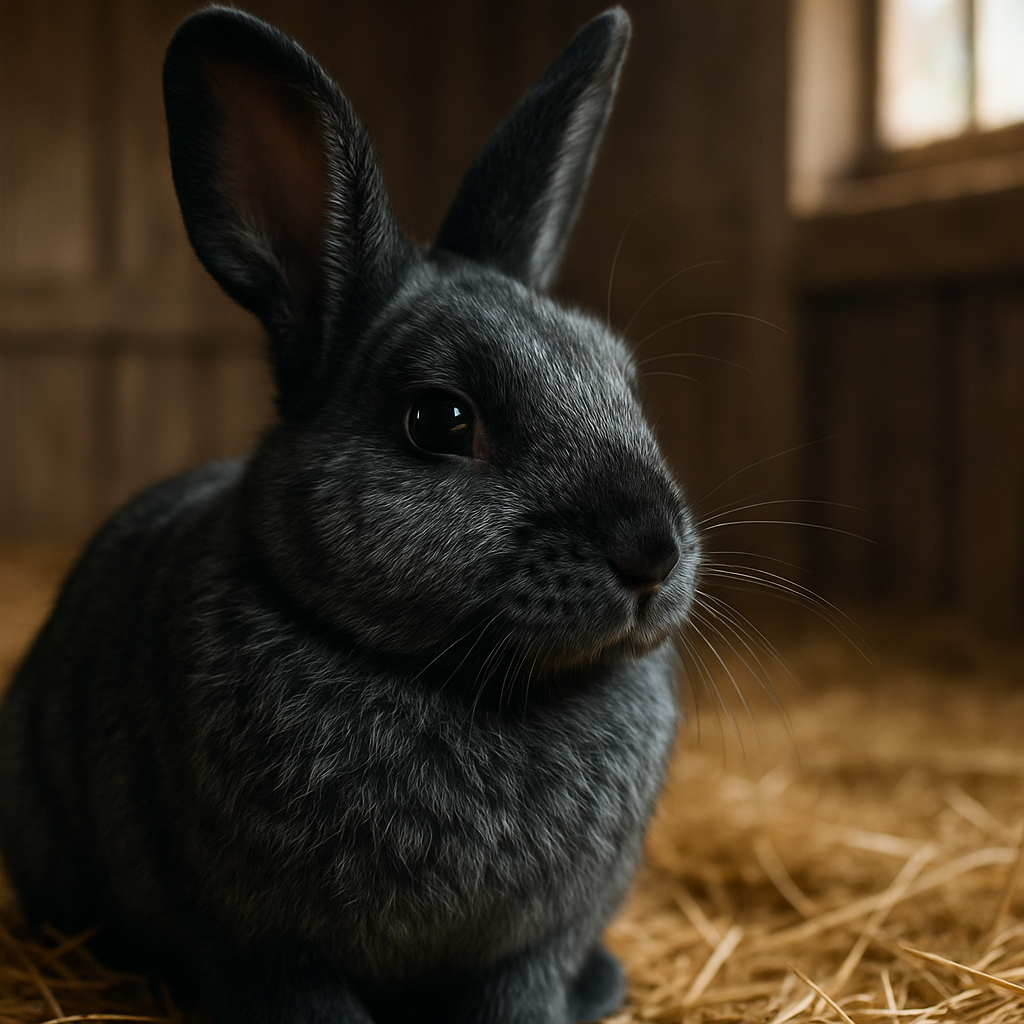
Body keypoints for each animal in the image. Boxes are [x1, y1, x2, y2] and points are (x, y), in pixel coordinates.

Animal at [0, 6, 700, 1024]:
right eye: (440, 420)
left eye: (623, 381)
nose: (652, 553)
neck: (464, 685)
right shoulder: (266, 952)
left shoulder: (529, 952)